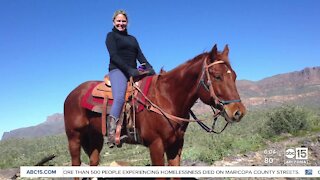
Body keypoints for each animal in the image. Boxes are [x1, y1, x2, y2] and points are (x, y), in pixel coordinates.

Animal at [63, 44, 246, 168]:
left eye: (234, 76)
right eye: (217, 76)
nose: (238, 112)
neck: (167, 98)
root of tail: (72, 94)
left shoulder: (176, 144)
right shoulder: (156, 145)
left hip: (95, 138)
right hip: (74, 137)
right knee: (76, 163)